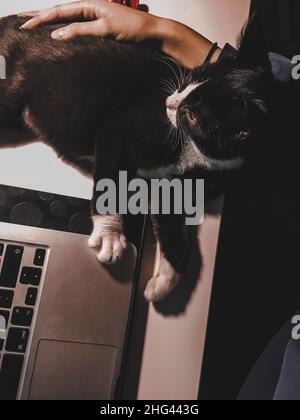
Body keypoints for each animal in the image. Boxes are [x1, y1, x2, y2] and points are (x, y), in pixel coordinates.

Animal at [0, 13, 274, 302]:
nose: (170, 101)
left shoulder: (181, 187)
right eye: (191, 78)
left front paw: (165, 281)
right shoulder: (117, 132)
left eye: (194, 116)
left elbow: (174, 230)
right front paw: (110, 235)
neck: (195, 152)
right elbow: (111, 183)